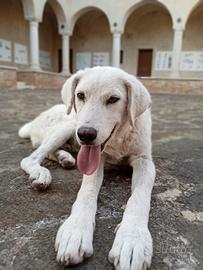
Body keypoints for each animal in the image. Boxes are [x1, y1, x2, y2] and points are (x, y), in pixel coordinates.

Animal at [18, 66, 155, 270]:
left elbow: (139, 198)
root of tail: (34, 121)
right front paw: (75, 231)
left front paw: (132, 240)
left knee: (51, 152)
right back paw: (41, 173)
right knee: (31, 157)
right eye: (80, 95)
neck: (118, 140)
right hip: (68, 125)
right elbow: (87, 192)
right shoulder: (95, 160)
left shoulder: (144, 161)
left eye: (113, 99)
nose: (85, 135)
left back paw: (65, 158)